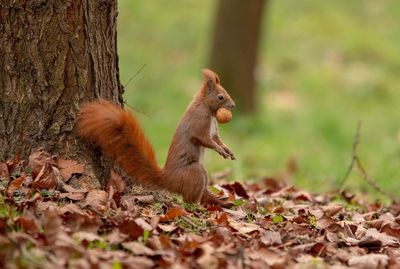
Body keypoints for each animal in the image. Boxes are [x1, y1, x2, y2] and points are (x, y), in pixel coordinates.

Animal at [76, 69, 236, 203]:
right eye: (220, 97)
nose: (233, 105)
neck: (207, 108)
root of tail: (167, 179)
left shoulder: (213, 130)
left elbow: (216, 139)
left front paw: (227, 150)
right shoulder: (198, 122)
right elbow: (204, 139)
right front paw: (220, 150)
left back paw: (216, 199)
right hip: (194, 172)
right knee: (188, 198)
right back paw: (197, 206)